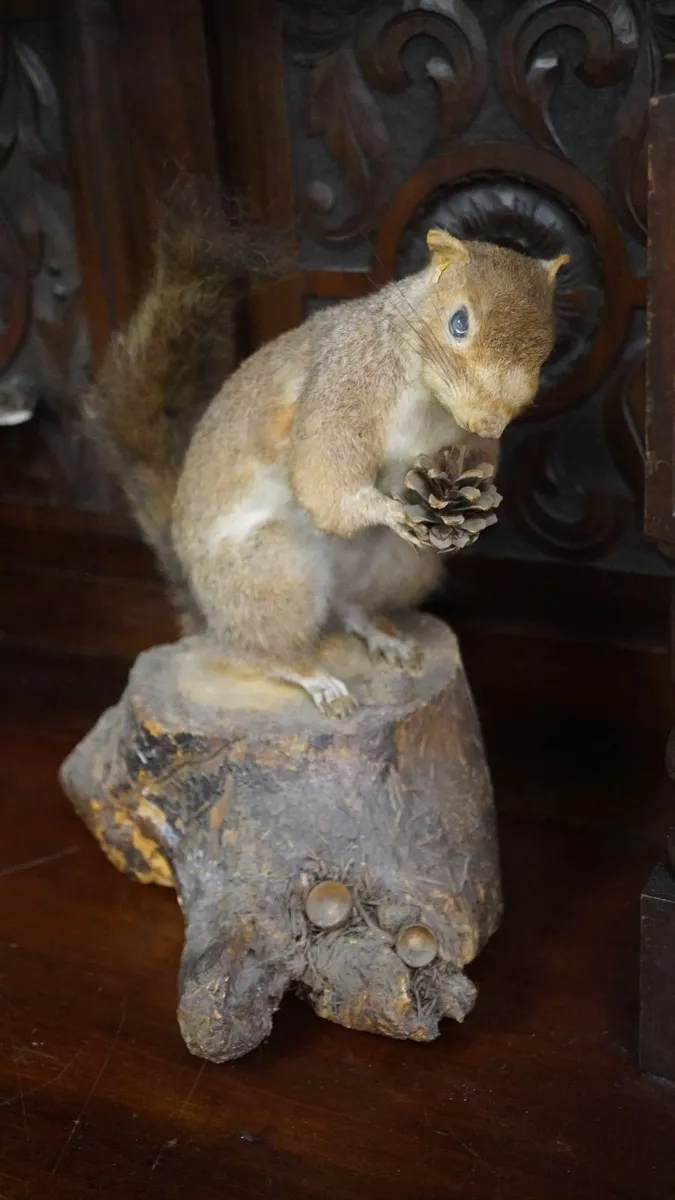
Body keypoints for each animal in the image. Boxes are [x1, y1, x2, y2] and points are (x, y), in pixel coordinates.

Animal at [85, 199, 567, 717]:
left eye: (547, 348)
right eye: (459, 322)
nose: (491, 422)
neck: (431, 401)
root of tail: (205, 607)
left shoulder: (461, 443)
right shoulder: (344, 385)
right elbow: (324, 477)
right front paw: (387, 509)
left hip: (399, 567)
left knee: (350, 608)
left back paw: (381, 633)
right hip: (272, 573)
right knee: (263, 651)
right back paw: (316, 679)